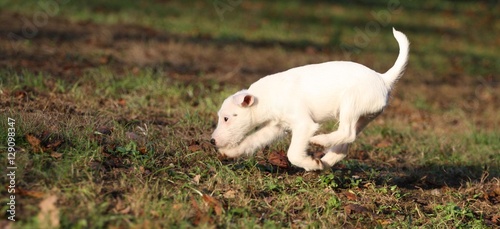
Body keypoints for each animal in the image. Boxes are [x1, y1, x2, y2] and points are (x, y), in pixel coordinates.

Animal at [209, 27, 408, 171]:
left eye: (226, 118)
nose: (212, 141)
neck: (267, 96)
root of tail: (383, 78)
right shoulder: (274, 128)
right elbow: (250, 141)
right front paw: (230, 152)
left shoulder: (303, 125)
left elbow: (293, 154)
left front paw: (309, 164)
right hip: (364, 118)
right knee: (344, 145)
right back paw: (326, 162)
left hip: (350, 104)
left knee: (346, 132)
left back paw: (319, 142)